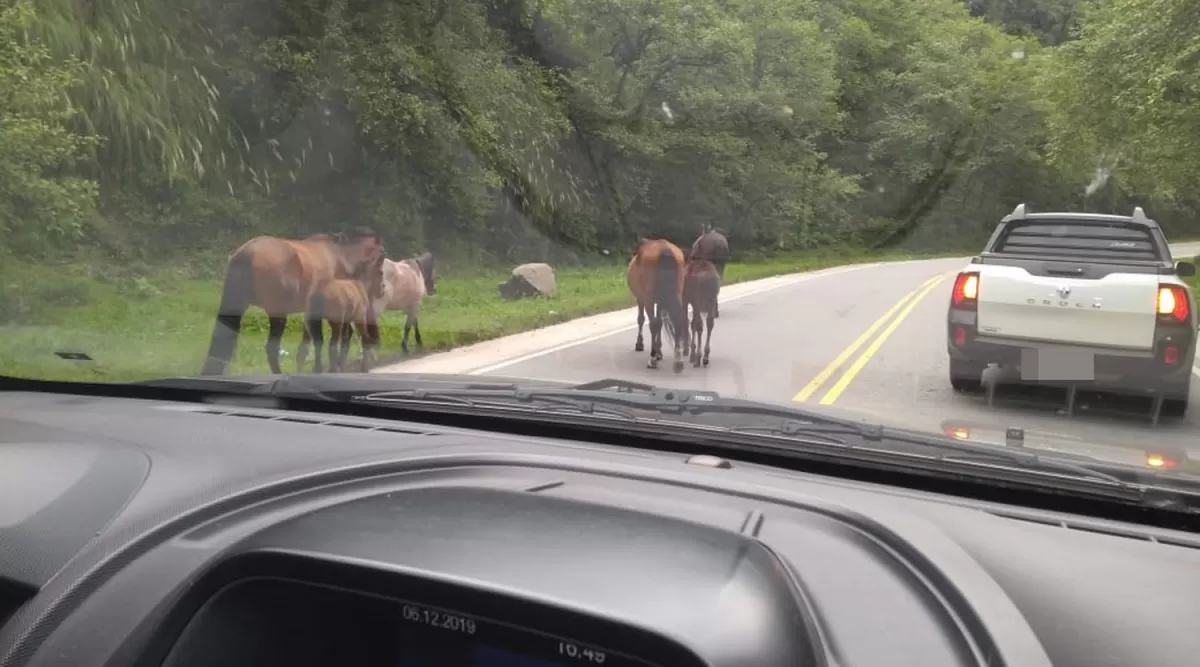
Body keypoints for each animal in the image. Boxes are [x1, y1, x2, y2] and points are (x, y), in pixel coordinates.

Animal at [199, 227, 381, 374]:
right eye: (380, 264)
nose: (380, 290)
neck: (340, 257)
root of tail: (247, 253)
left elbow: (311, 344)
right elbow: (321, 341)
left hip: (234, 306)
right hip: (278, 313)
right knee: (272, 348)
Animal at [624, 238, 691, 369]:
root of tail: (665, 249)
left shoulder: (640, 298)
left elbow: (641, 319)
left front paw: (640, 344)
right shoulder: (661, 301)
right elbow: (660, 322)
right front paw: (659, 351)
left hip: (648, 298)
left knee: (653, 323)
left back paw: (652, 358)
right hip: (677, 293)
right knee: (678, 320)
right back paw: (677, 359)